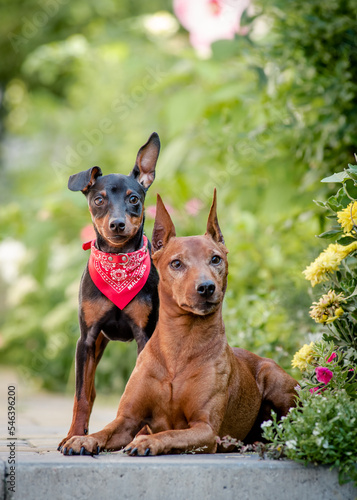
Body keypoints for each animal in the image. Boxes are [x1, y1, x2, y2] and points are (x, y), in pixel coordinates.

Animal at [58, 131, 160, 448]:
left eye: (134, 199)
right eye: (99, 199)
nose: (117, 224)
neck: (117, 266)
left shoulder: (145, 337)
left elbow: (142, 393)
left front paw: (141, 435)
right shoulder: (86, 340)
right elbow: (80, 396)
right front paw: (74, 436)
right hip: (98, 345)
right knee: (90, 392)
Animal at [59, 189, 296, 456]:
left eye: (215, 259)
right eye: (176, 263)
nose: (206, 287)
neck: (180, 342)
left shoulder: (205, 430)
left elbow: (170, 434)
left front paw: (146, 441)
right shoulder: (127, 419)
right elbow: (105, 430)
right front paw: (82, 439)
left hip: (274, 379)